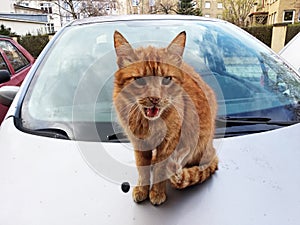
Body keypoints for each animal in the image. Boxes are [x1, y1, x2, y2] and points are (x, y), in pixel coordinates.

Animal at [112, 30, 218, 206]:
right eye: (140, 80)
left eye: (166, 79)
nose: (155, 98)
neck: (149, 124)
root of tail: (212, 149)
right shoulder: (139, 144)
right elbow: (142, 167)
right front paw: (142, 189)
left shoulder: (169, 144)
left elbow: (161, 171)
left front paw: (156, 192)